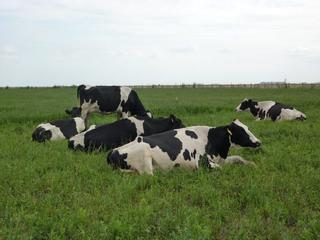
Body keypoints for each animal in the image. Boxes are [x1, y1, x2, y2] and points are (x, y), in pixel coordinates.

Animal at [106, 119, 262, 174]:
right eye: (241, 131)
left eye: (248, 128)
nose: (259, 142)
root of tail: (113, 151)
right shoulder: (203, 162)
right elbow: (221, 169)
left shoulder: (220, 159)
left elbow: (239, 158)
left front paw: (253, 165)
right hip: (145, 161)